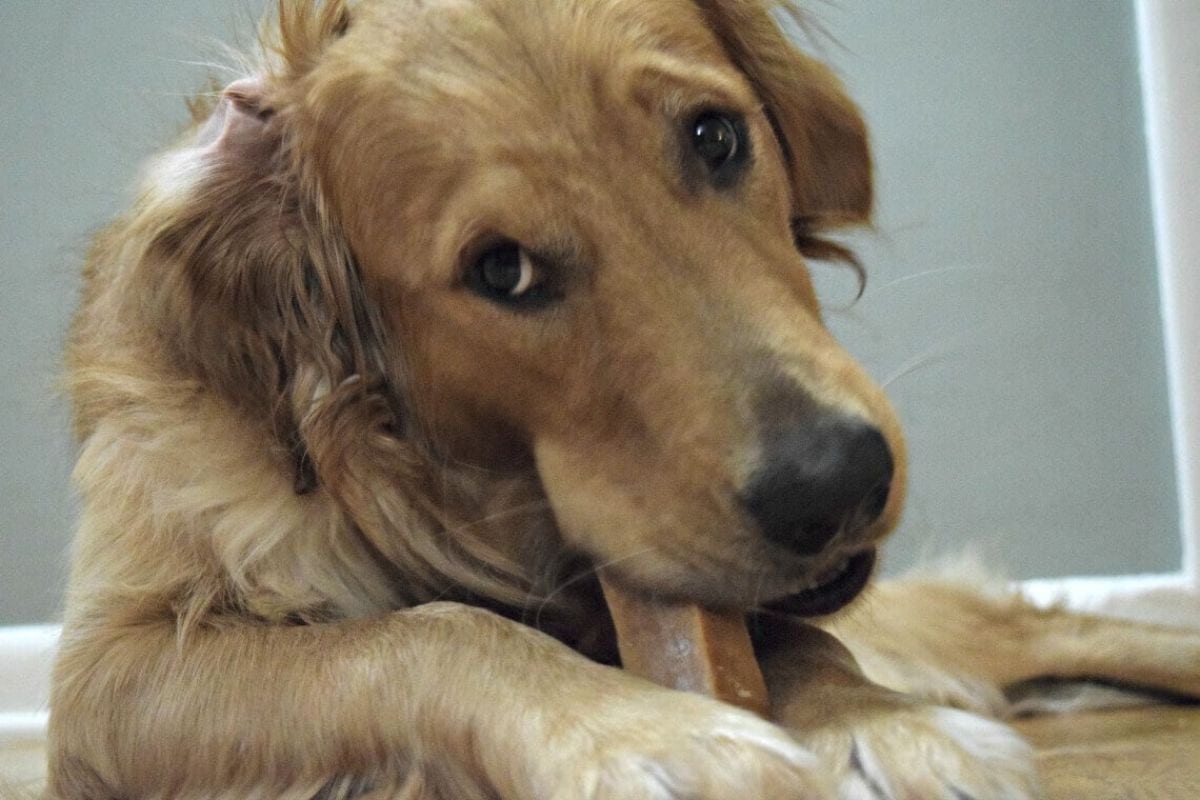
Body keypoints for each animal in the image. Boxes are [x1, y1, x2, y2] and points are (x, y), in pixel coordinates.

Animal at [46, 1, 1200, 800]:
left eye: (715, 136)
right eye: (501, 269)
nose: (838, 482)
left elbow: (806, 641)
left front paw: (875, 722)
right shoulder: (112, 669)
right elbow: (431, 630)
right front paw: (647, 733)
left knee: (1066, 627)